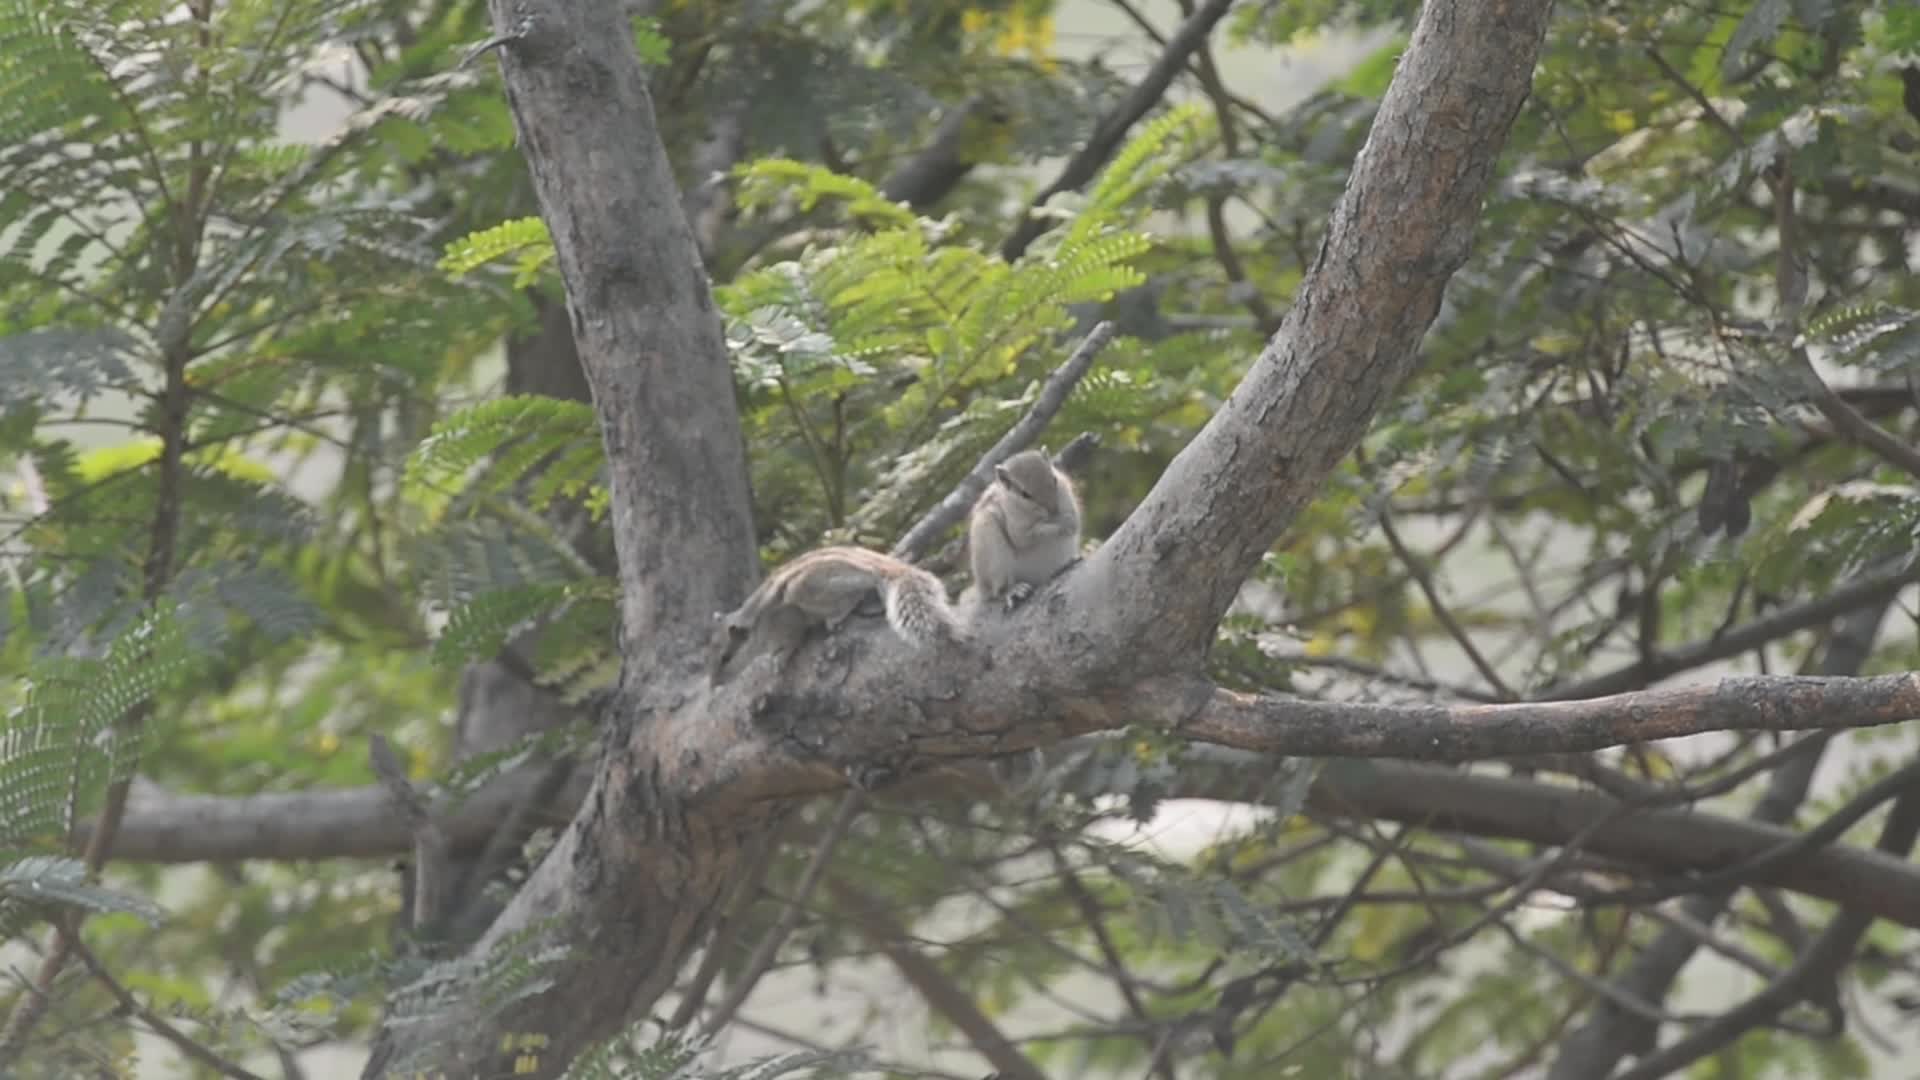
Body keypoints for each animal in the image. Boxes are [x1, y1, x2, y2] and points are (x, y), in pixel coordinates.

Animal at [709, 545, 965, 685]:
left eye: (725, 658)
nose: (714, 685)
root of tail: (885, 564)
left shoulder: (788, 621)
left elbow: (792, 640)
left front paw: (780, 659)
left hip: (806, 587)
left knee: (866, 583)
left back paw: (839, 616)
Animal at [967, 447, 1083, 611]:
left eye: (1054, 479)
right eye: (1025, 494)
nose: (1054, 510)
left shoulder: (1066, 494)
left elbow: (1075, 519)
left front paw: (1069, 523)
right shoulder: (1017, 527)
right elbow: (1027, 537)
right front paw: (1056, 527)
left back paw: (1068, 563)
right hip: (990, 547)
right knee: (998, 590)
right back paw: (1013, 590)